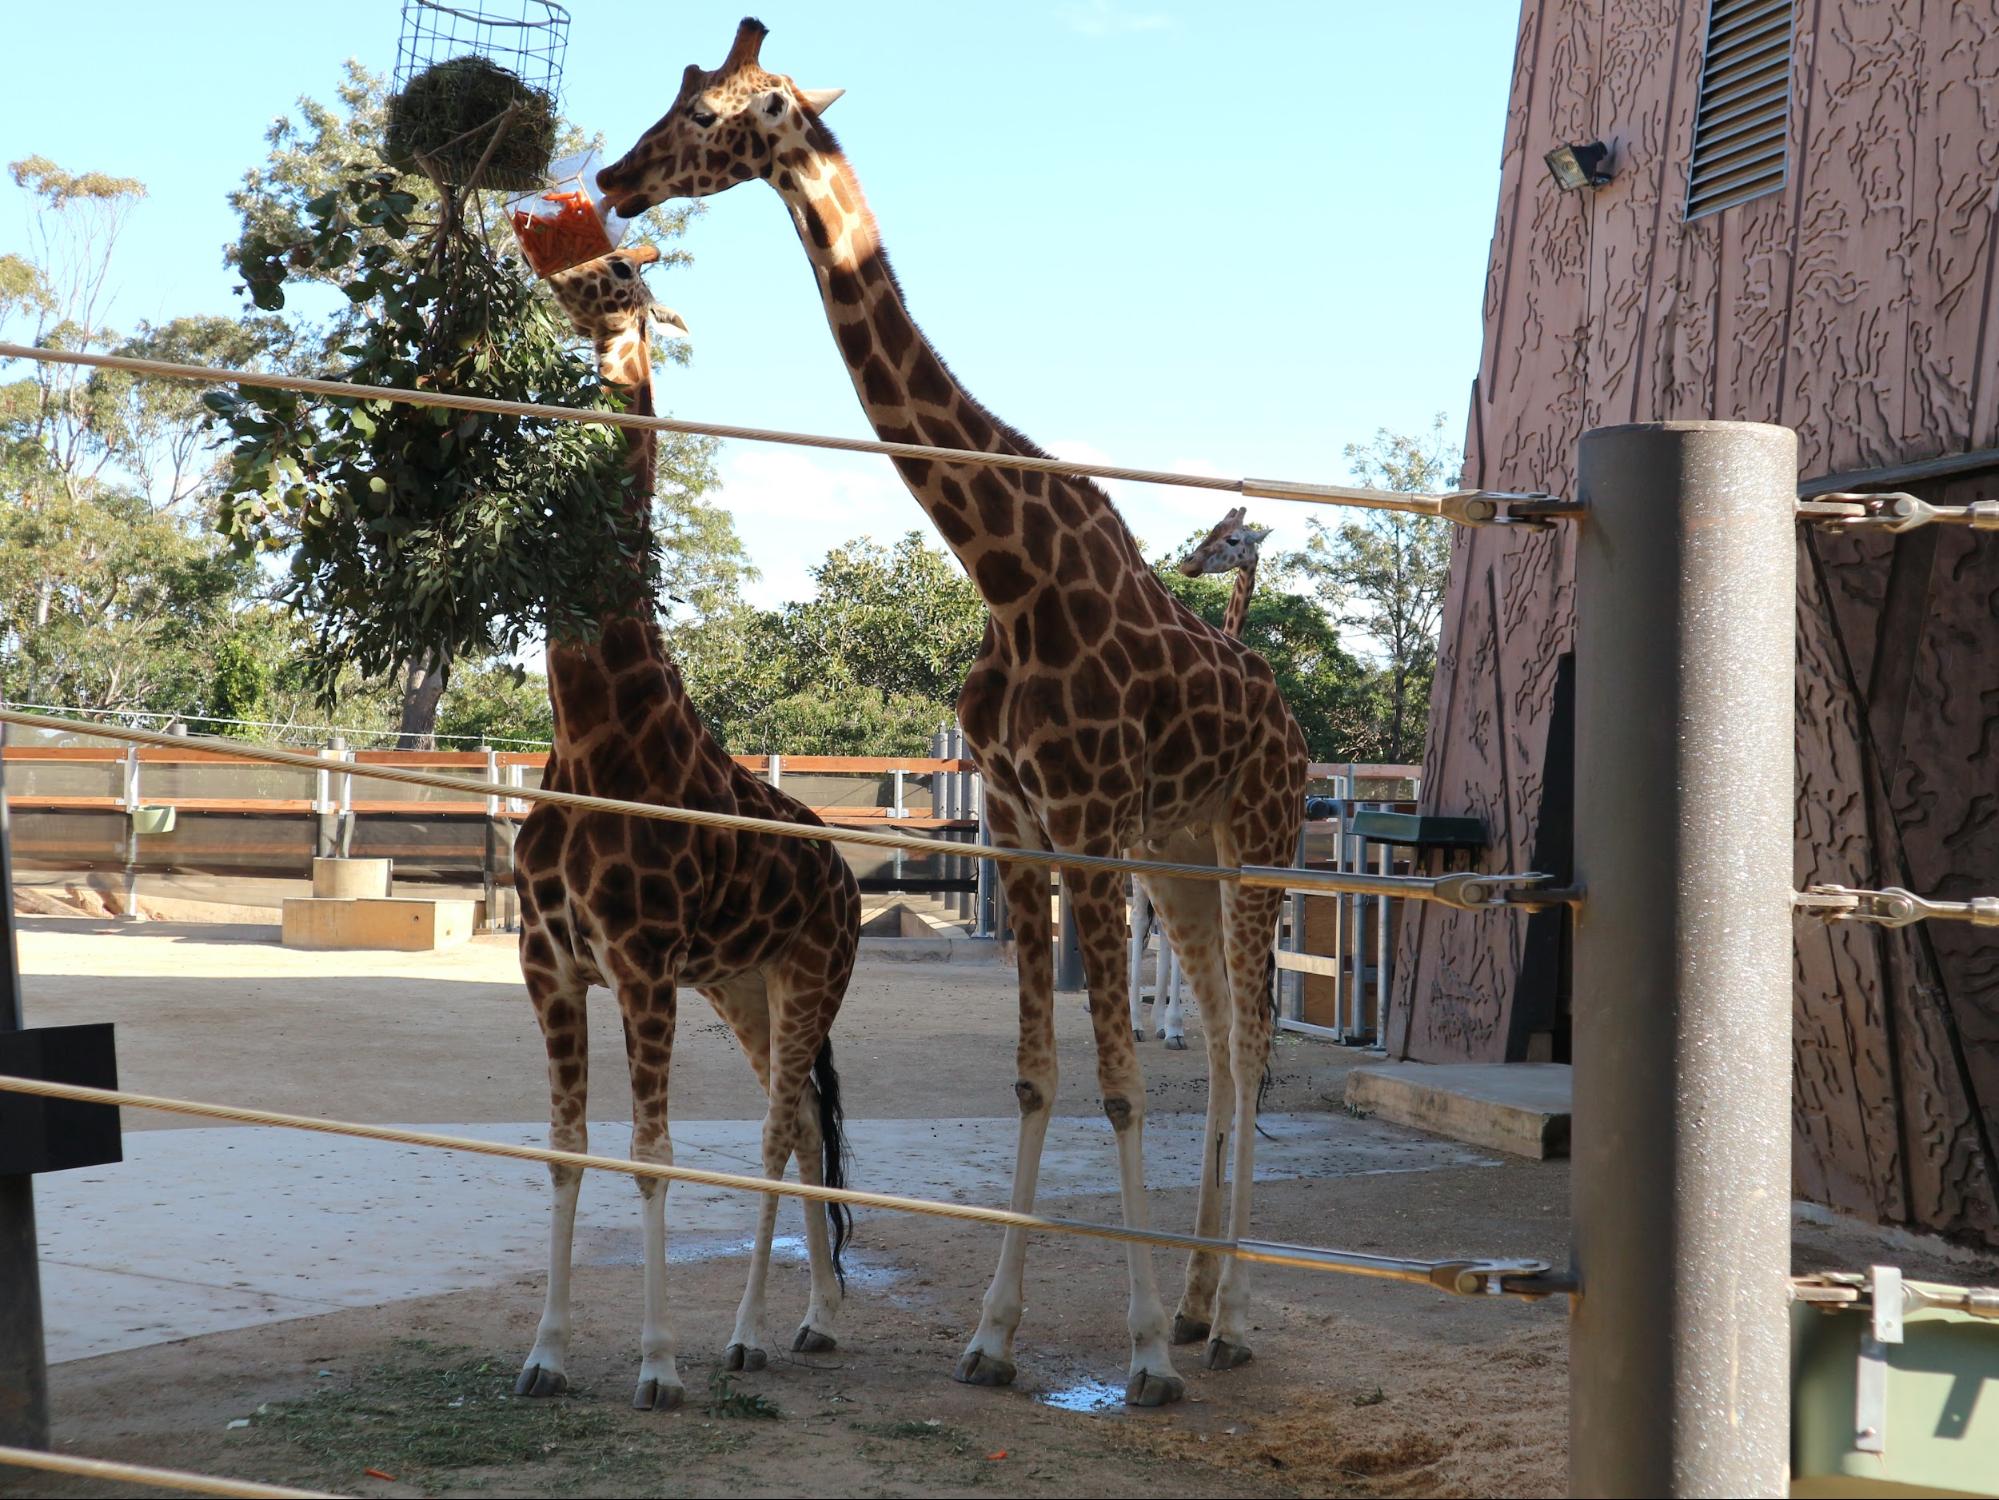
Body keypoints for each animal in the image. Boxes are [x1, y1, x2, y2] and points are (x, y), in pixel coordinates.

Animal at [511, 244, 863, 1408]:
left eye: (624, 273)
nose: (555, 270)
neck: (589, 737)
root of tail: (848, 877)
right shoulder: (550, 965)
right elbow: (567, 1149)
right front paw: (544, 1356)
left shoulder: (641, 962)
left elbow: (654, 1151)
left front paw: (659, 1366)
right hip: (744, 986)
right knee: (801, 1130)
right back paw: (814, 1322)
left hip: (808, 974)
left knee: (774, 1135)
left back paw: (748, 1337)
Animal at [1135, 512, 1271, 1048]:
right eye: (1209, 529)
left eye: (1233, 538)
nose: (1189, 563)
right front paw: (1170, 1024)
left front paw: (1174, 1025)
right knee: (1140, 922)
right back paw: (1138, 1021)